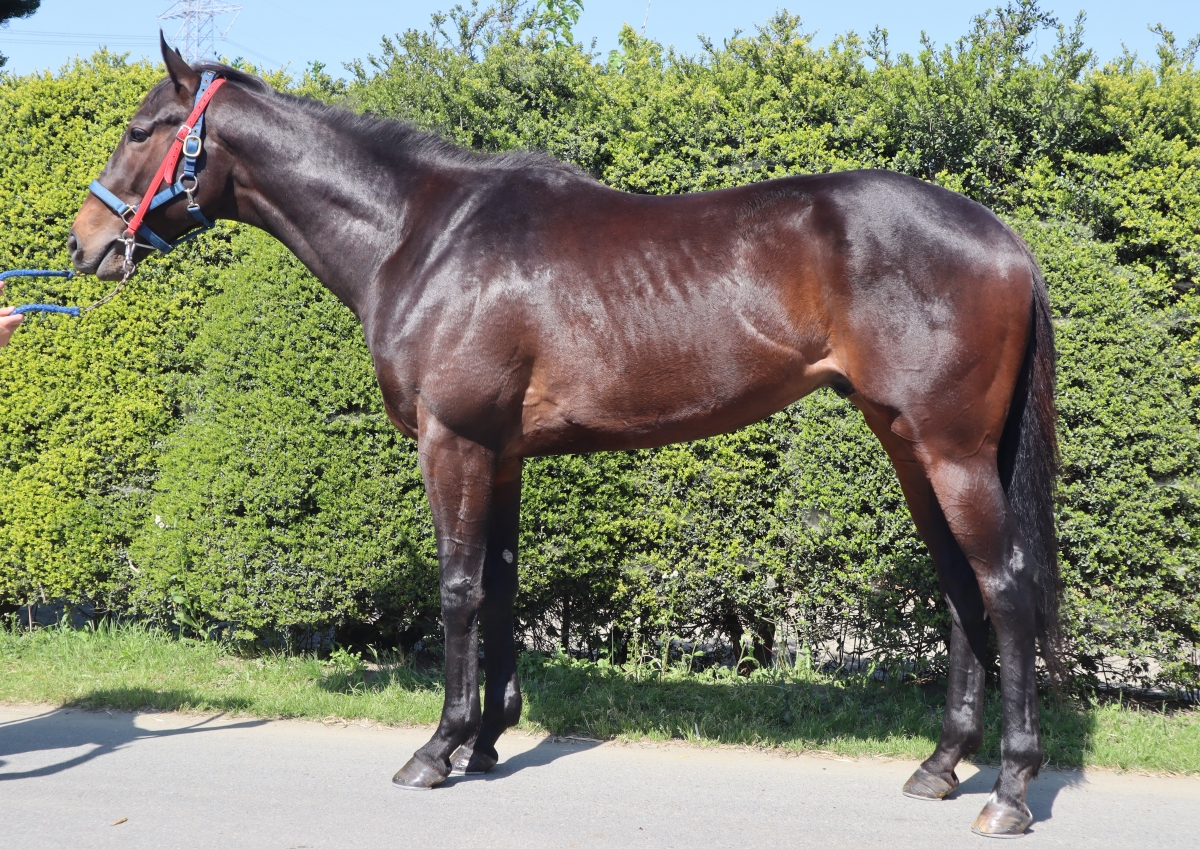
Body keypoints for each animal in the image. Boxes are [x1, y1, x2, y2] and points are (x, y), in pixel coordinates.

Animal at [69, 37, 1061, 837]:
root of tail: (1005, 239)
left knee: (1005, 588)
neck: (421, 236)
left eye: (141, 128)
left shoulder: (452, 442)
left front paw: (435, 749)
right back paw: (940, 766)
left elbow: (459, 590)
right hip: (909, 446)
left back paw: (1009, 791)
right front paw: (487, 740)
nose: (84, 244)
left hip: (952, 452)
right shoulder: (501, 455)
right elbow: (503, 588)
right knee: (958, 588)